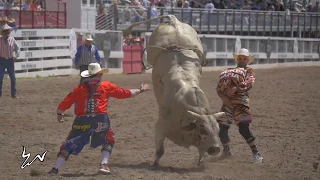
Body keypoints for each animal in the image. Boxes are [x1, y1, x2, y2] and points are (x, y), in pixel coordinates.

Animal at [122, 15, 225, 166]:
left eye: (218, 129)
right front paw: (155, 164)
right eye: (203, 129)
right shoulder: (160, 127)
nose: (216, 148)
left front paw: (200, 162)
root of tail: (174, 21)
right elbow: (160, 150)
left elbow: (201, 153)